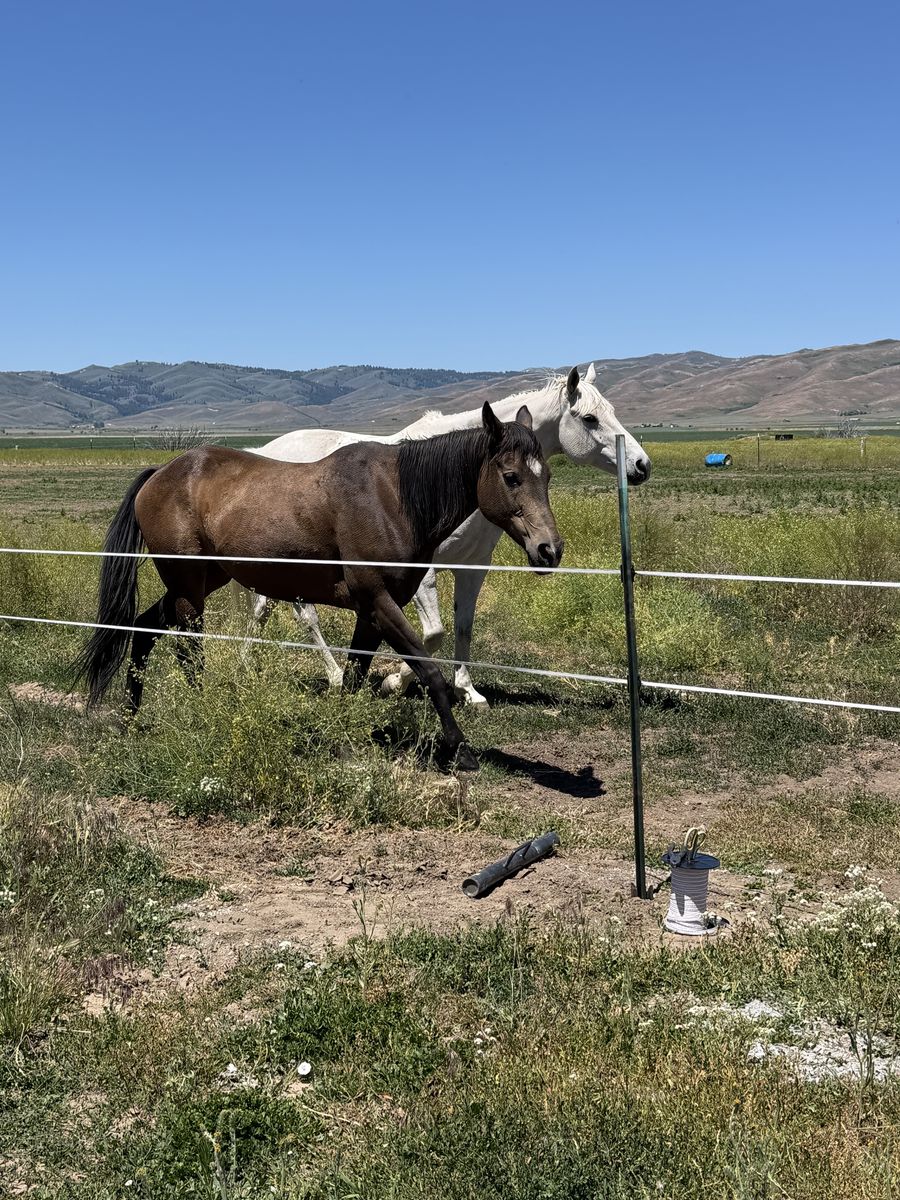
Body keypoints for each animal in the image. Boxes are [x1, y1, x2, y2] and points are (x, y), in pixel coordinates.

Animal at [72, 403, 562, 771]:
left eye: (548, 477)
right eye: (512, 476)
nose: (550, 549)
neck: (393, 499)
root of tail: (161, 473)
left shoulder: (372, 613)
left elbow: (356, 677)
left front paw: (344, 736)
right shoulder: (380, 603)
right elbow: (430, 672)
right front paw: (459, 748)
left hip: (195, 584)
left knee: (142, 632)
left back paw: (131, 716)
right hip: (189, 589)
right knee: (189, 653)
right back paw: (197, 714)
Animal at [244, 364, 651, 706]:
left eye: (613, 410)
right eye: (590, 418)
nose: (641, 465)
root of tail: (265, 449)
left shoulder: (474, 567)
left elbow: (463, 627)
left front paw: (468, 691)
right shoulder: (422, 572)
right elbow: (432, 634)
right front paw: (395, 682)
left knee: (265, 608)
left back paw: (249, 661)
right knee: (304, 615)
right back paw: (331, 675)